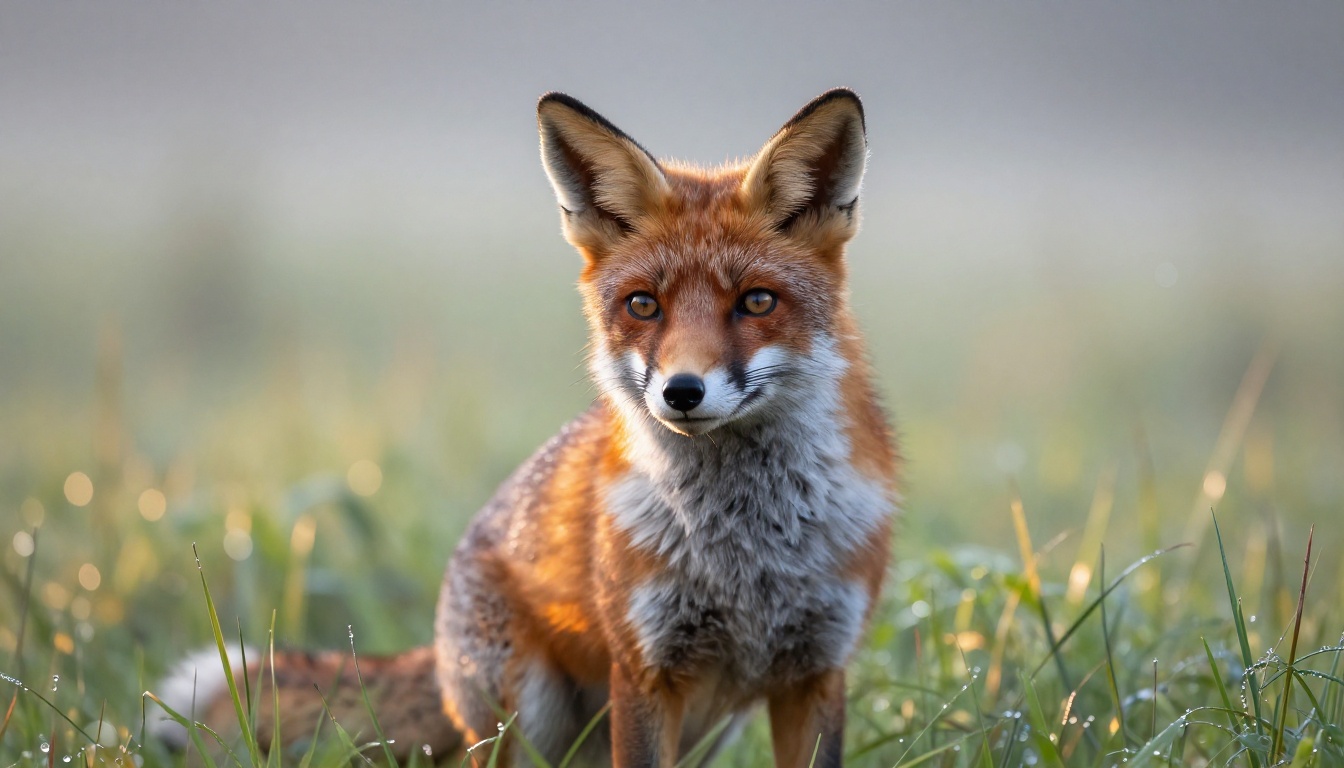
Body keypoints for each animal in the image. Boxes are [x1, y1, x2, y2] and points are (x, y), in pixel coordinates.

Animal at [154, 88, 900, 767]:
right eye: (643, 306)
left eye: (757, 302)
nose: (681, 392)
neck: (747, 556)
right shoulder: (647, 671)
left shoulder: (816, 671)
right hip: (524, 716)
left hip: (707, 733)